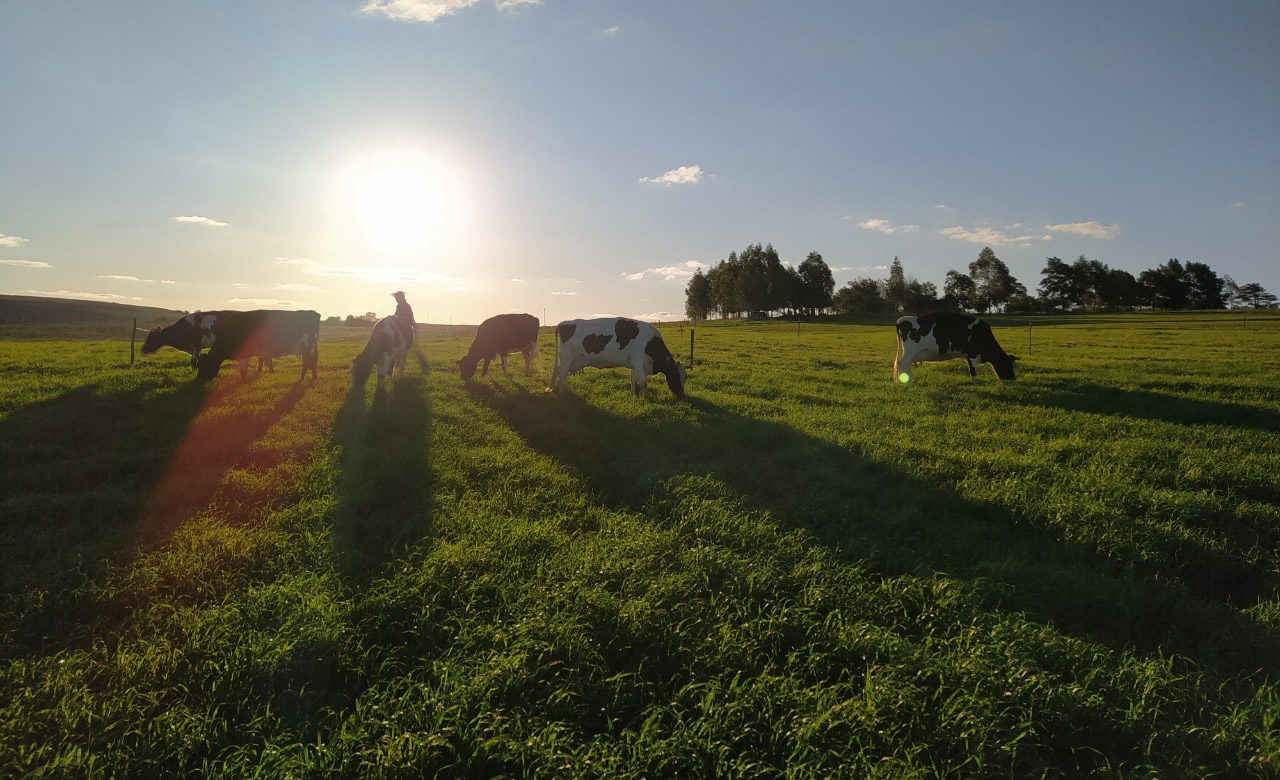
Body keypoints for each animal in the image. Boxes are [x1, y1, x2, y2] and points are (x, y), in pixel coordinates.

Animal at [547, 316, 691, 399]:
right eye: (675, 376)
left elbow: (633, 380)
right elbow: (643, 383)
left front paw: (633, 395)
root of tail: (563, 323)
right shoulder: (639, 363)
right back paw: (561, 391)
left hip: (574, 361)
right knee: (562, 372)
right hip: (567, 358)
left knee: (560, 372)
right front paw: (646, 398)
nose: (681, 394)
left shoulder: (635, 364)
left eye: (685, 378)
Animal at [890, 311, 1018, 381]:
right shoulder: (972, 355)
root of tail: (902, 319)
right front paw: (975, 384)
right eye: (1008, 365)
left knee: (906, 366)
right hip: (910, 351)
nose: (1012, 379)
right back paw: (909, 381)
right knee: (902, 364)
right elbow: (973, 372)